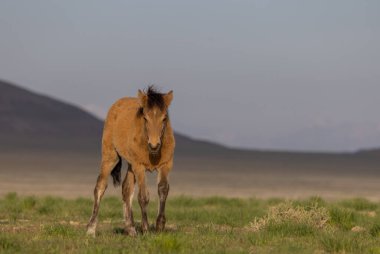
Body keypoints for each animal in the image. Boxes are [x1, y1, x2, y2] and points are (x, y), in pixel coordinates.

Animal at [86, 87, 175, 236]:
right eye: (145, 118)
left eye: (164, 118)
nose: (154, 145)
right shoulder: (139, 166)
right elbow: (143, 196)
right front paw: (146, 229)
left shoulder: (165, 164)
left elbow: (163, 189)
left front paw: (160, 226)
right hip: (110, 156)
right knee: (100, 186)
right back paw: (91, 228)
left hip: (130, 164)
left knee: (126, 189)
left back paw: (131, 228)